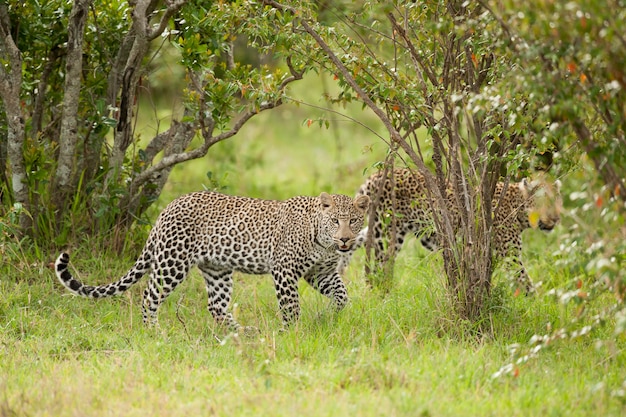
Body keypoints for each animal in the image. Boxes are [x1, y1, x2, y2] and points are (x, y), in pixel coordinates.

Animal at [53, 190, 368, 330]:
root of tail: (166, 208)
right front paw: (291, 332)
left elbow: (342, 295)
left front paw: (329, 316)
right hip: (172, 262)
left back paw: (242, 333)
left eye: (353, 221)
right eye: (334, 221)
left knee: (215, 306)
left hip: (217, 269)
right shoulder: (284, 270)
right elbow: (290, 306)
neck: (323, 242)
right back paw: (152, 331)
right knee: (149, 294)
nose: (345, 240)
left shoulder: (320, 273)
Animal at [342, 167, 560, 290]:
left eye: (557, 202)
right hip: (386, 235)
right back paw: (384, 296)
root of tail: (376, 175)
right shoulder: (511, 256)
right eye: (543, 203)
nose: (556, 219)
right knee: (378, 269)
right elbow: (525, 282)